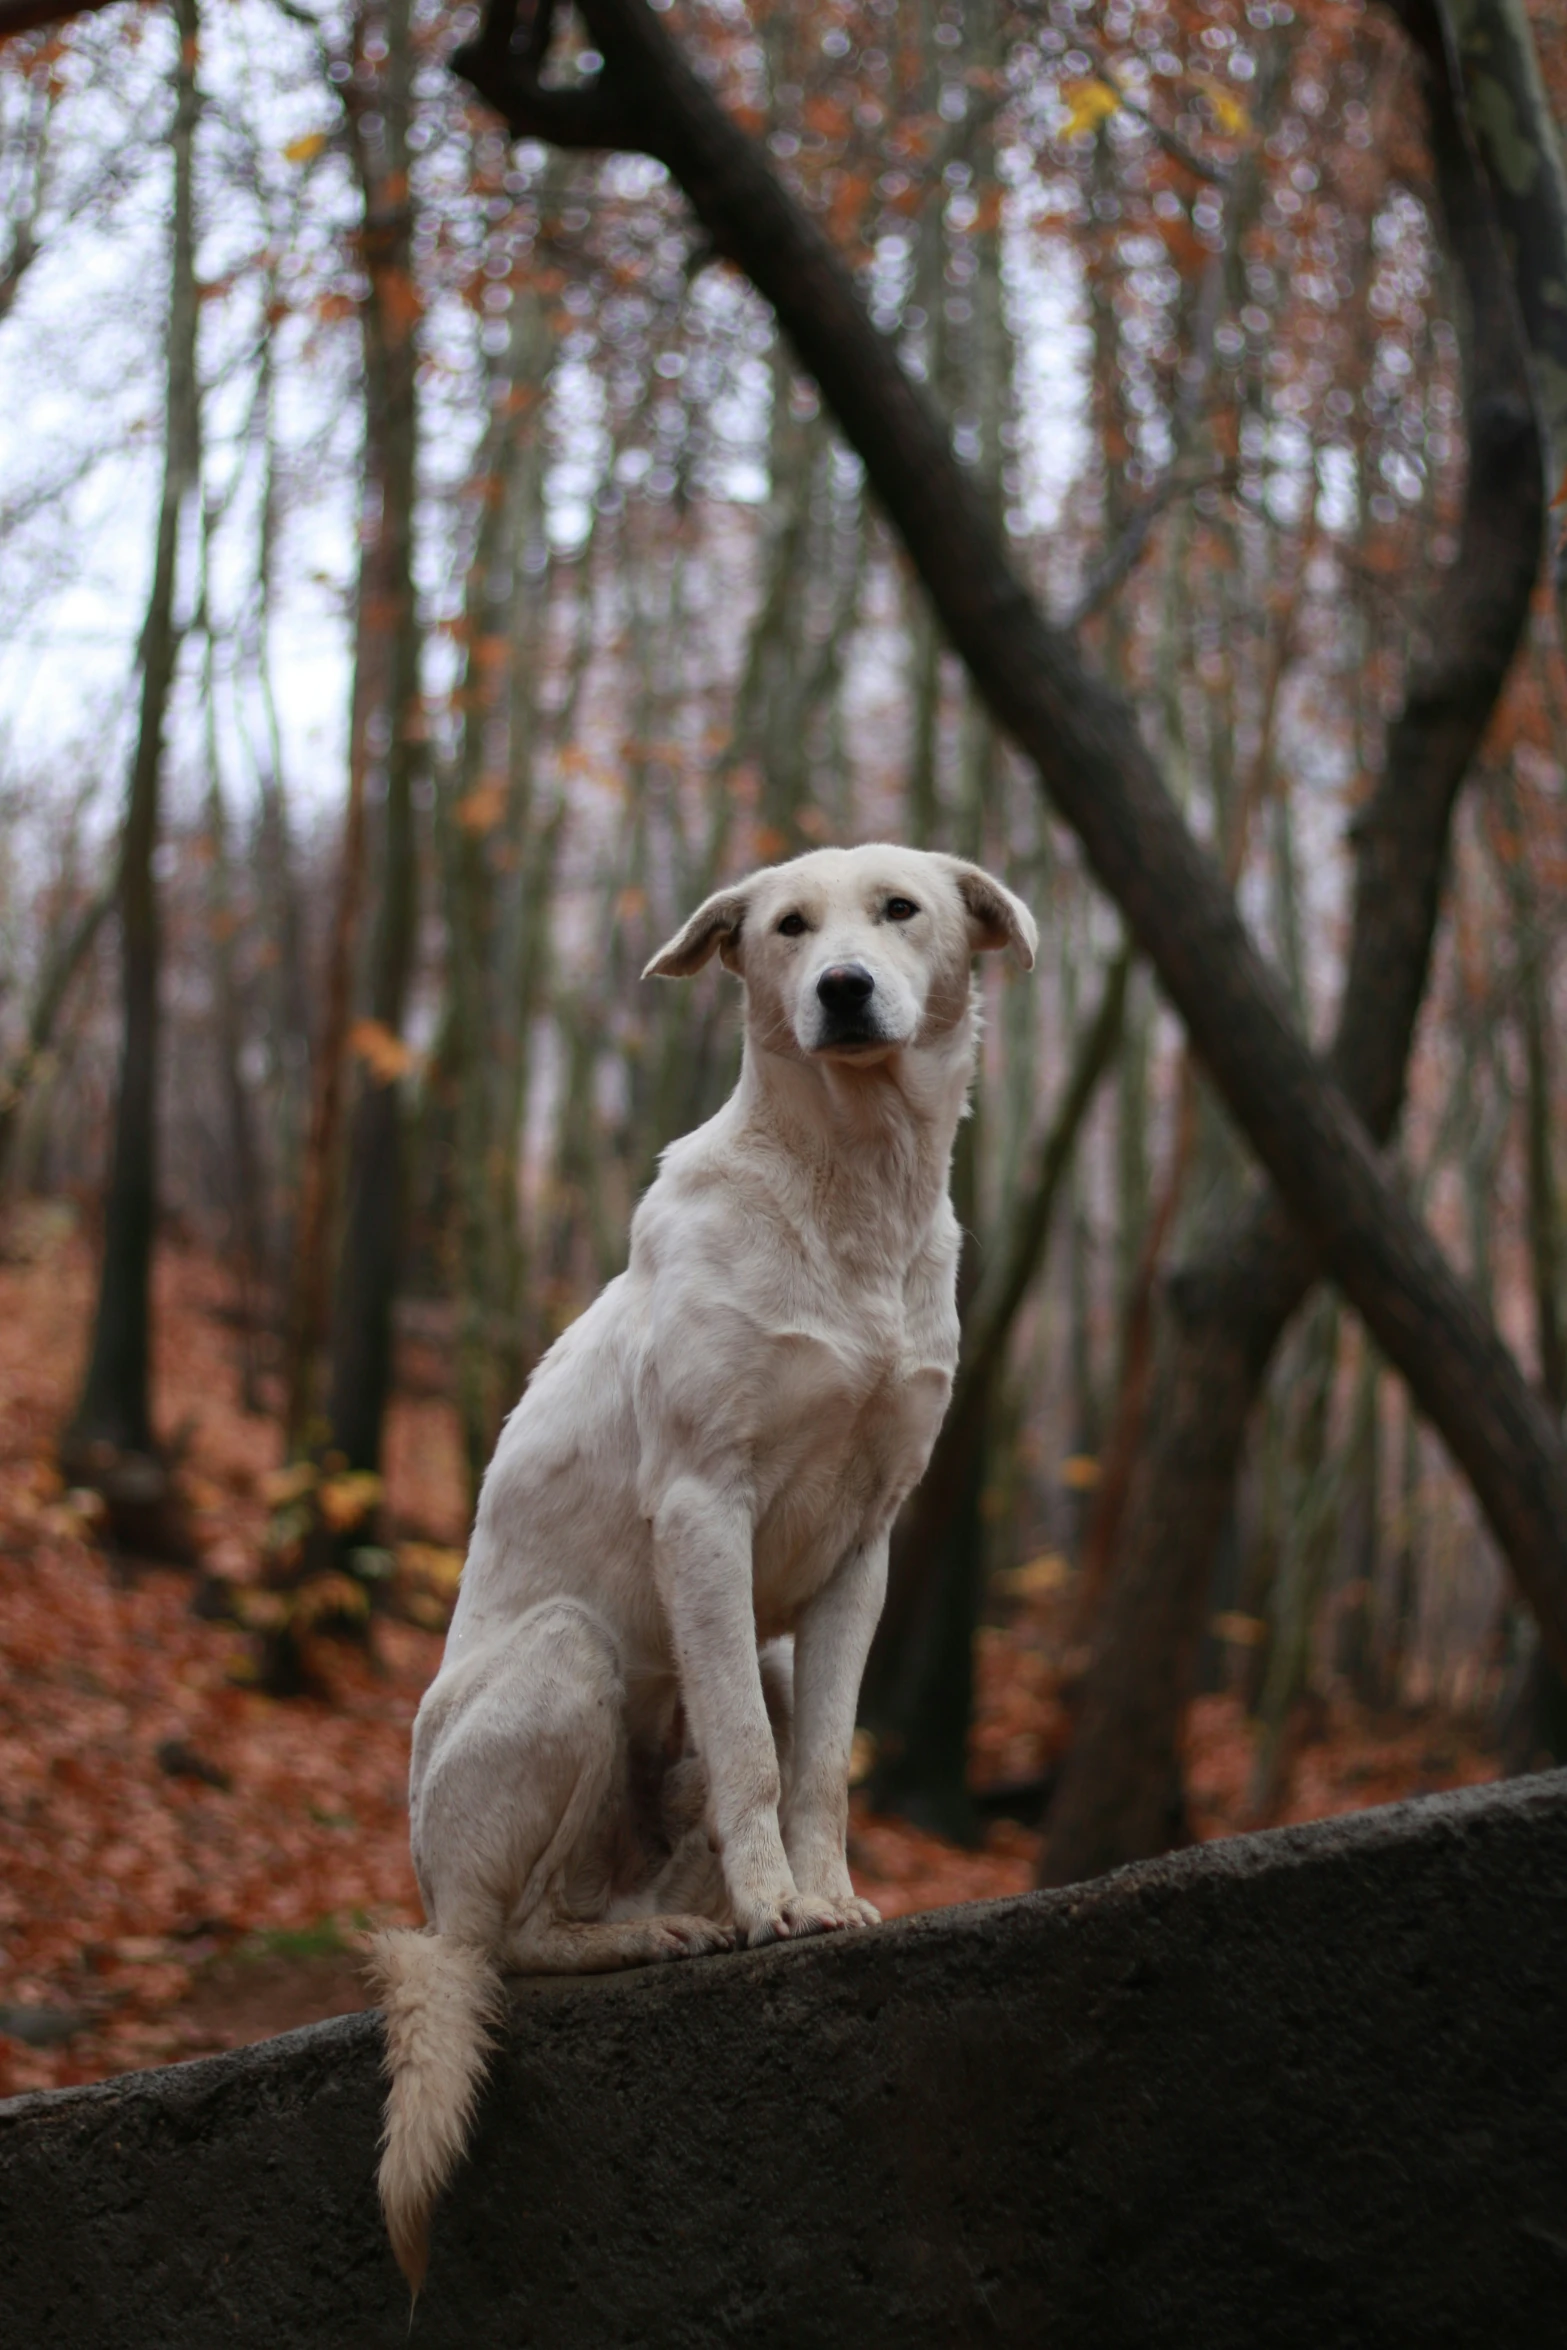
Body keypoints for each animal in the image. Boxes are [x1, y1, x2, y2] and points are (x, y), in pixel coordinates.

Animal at [361, 850, 1033, 2293]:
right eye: (786, 927)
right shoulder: (702, 1513)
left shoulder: (859, 1553)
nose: (842, 989)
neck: (850, 1187)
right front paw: (777, 1907)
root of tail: (428, 1892)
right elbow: (745, 1752)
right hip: (567, 1658)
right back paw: (644, 1934)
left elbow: (817, 1761)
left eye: (899, 909)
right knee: (509, 1942)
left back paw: (677, 1913)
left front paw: (822, 1897)